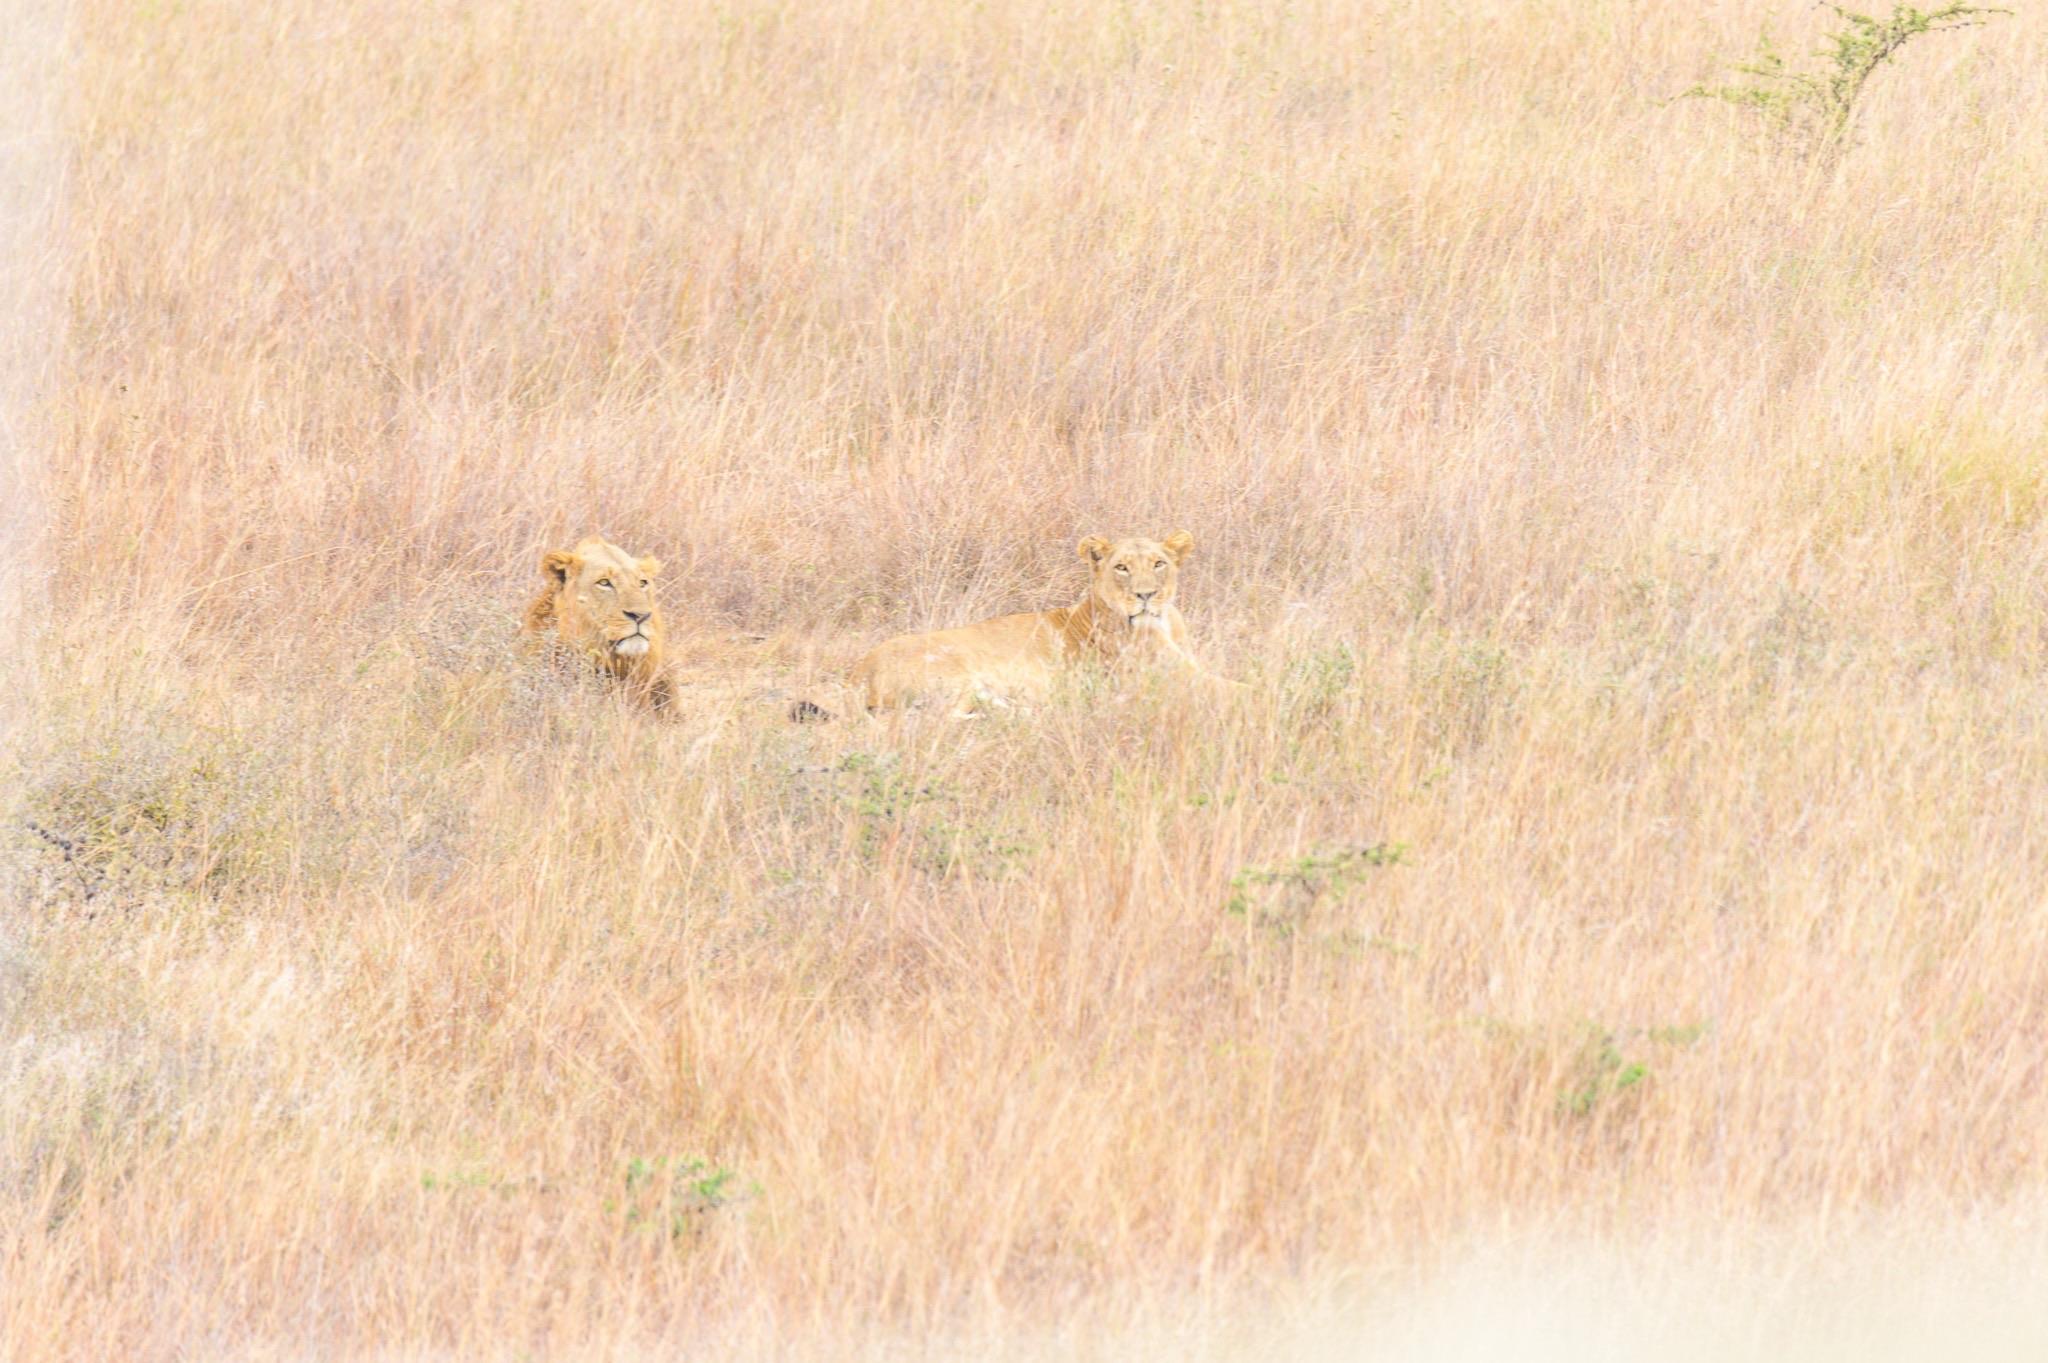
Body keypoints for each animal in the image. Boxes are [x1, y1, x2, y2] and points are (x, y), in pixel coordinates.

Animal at [832, 529, 1236, 715]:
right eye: (1121, 567)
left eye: (1159, 564)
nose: (1146, 594)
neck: (1165, 622)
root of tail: (857, 674)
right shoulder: (1176, 679)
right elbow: (1236, 689)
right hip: (954, 674)